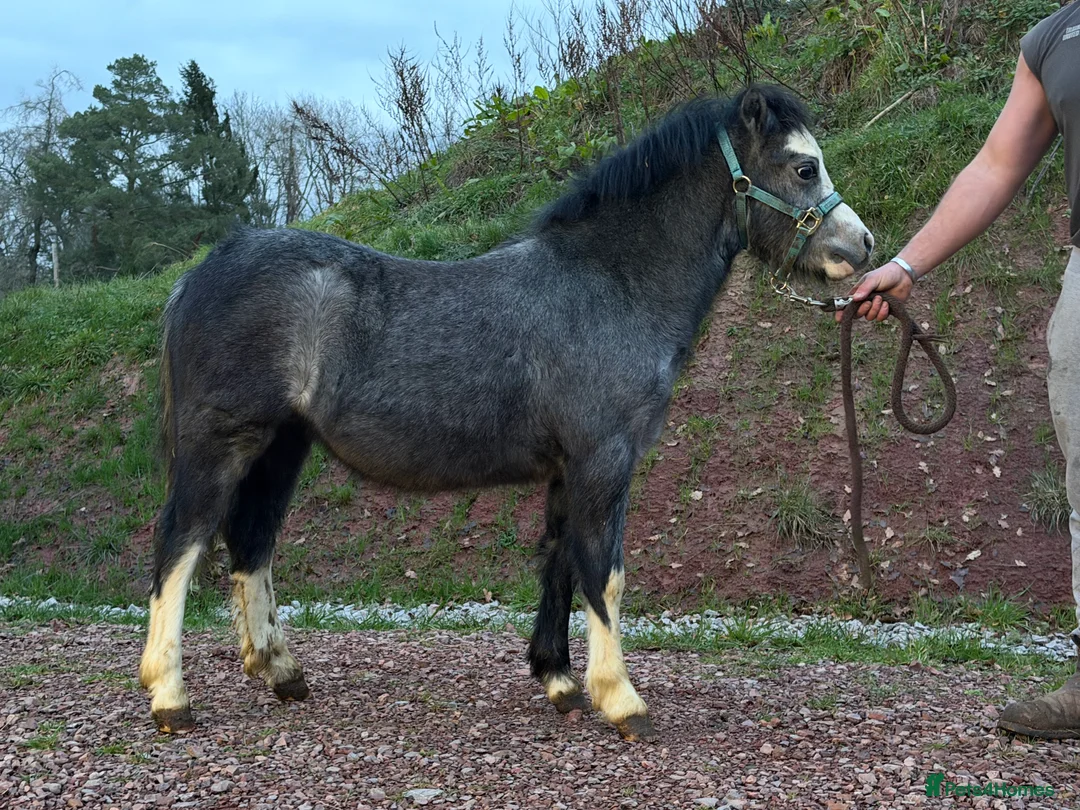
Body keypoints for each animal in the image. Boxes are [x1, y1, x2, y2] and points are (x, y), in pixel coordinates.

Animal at [138, 84, 873, 741]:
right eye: (804, 167)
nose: (863, 246)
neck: (609, 287)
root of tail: (198, 273)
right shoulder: (604, 459)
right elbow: (604, 570)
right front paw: (621, 699)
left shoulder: (569, 468)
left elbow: (560, 559)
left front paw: (560, 680)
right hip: (221, 442)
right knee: (182, 541)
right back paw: (170, 696)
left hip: (280, 447)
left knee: (252, 541)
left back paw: (280, 670)